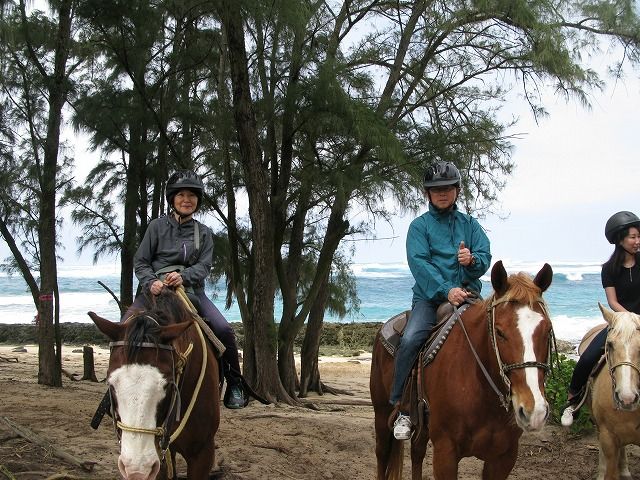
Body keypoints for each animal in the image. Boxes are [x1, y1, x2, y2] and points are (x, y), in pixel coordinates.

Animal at [370, 260, 554, 480]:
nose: (534, 411)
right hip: (382, 412)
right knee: (382, 452)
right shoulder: (445, 453)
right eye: (499, 332)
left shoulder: (504, 458)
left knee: (417, 451)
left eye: (548, 330)